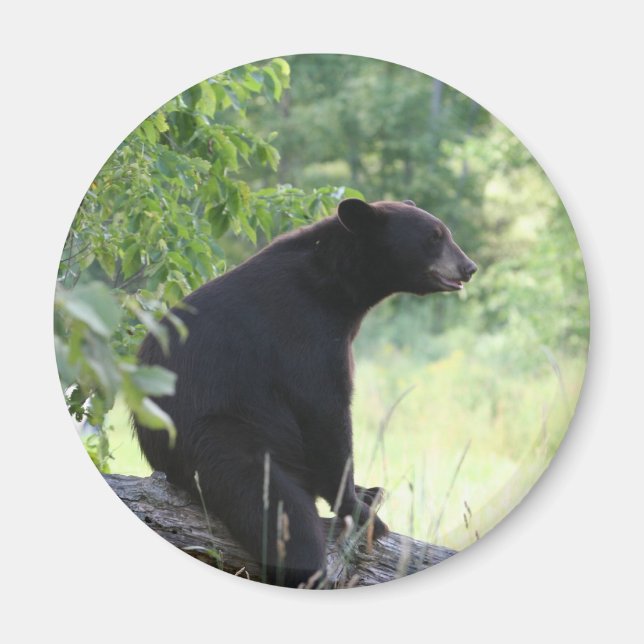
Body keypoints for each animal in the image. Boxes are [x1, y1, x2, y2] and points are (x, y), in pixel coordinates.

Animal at [134, 198, 477, 587]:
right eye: (434, 237)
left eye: (444, 232)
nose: (469, 267)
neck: (336, 287)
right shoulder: (302, 333)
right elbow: (324, 414)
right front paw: (360, 512)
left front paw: (366, 492)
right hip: (219, 438)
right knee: (281, 516)